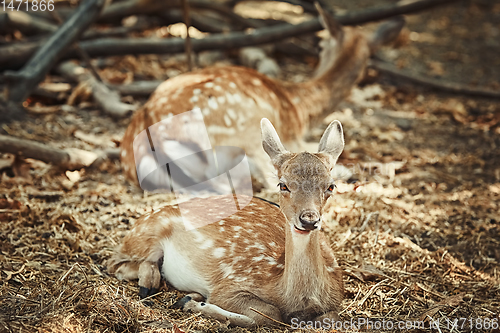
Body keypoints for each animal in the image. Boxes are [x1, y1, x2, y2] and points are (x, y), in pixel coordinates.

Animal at [108, 118, 346, 326]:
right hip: (147, 232)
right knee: (116, 263)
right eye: (283, 185)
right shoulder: (229, 285)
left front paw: (192, 300)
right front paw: (190, 303)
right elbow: (269, 313)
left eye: (331, 186)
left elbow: (330, 318)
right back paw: (150, 284)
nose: (308, 220)